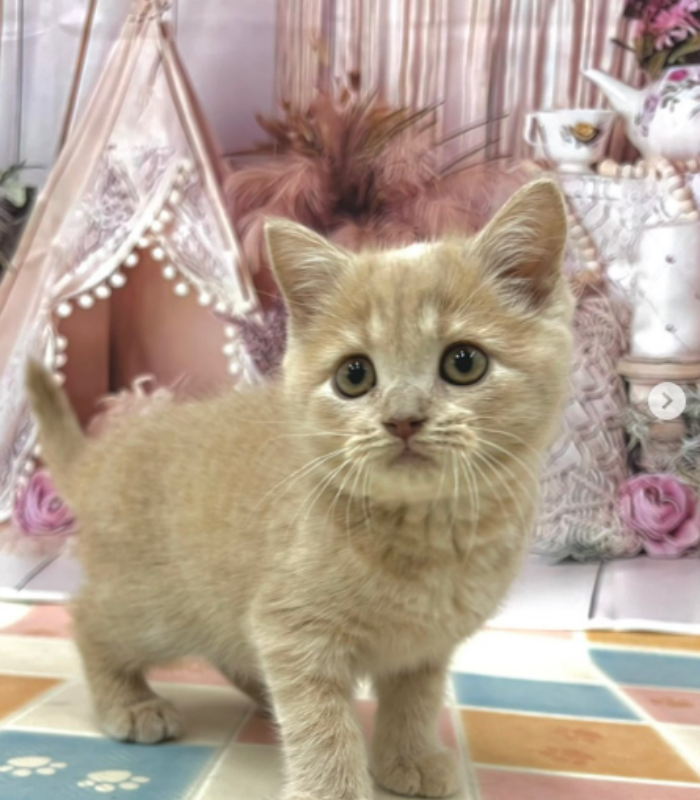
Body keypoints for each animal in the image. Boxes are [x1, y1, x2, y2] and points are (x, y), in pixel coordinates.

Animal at [27, 178, 572, 800]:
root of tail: (100, 459)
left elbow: (413, 701)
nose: (403, 418)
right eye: (355, 375)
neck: (426, 535)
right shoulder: (292, 630)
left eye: (464, 362)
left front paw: (407, 759)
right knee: (87, 619)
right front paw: (334, 787)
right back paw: (131, 704)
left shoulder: (423, 647)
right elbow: (321, 724)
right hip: (151, 607)